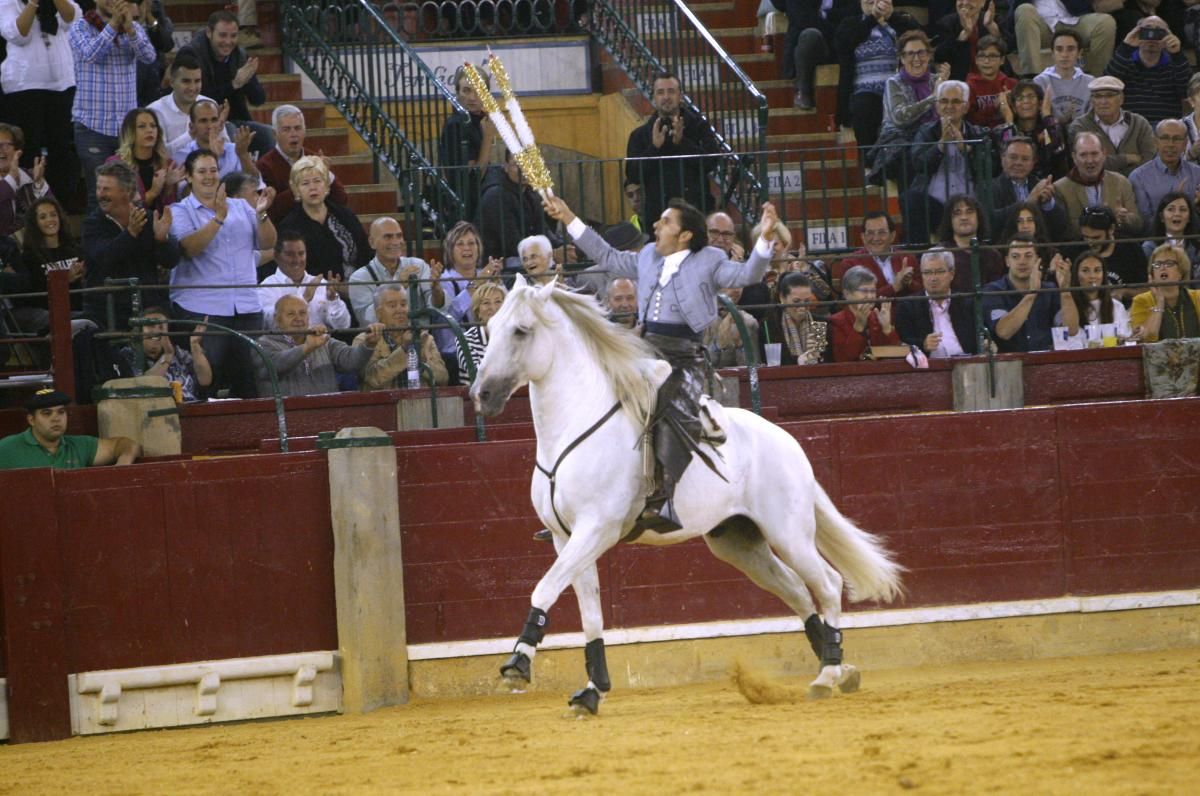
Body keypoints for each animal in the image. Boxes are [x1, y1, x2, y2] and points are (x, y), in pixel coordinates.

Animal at [468, 277, 902, 710]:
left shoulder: (596, 530)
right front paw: (593, 691)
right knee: (797, 590)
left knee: (827, 584)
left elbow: (544, 587)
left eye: (521, 331)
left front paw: (517, 664)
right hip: (738, 542)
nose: (481, 394)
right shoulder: (565, 537)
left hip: (789, 533)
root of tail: (786, 439)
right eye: (489, 328)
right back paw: (842, 669)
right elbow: (589, 611)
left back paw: (828, 675)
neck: (572, 428)